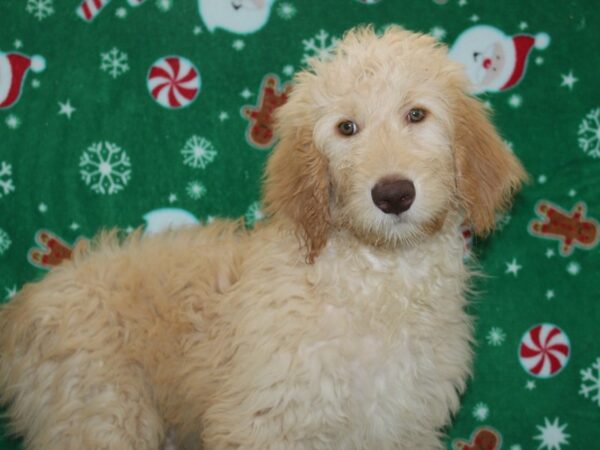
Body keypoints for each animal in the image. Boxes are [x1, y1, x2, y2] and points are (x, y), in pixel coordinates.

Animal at [0, 26, 524, 448]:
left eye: (417, 114)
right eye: (346, 128)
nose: (393, 194)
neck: (379, 284)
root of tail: (25, 307)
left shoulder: (401, 425)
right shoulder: (266, 420)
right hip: (100, 415)